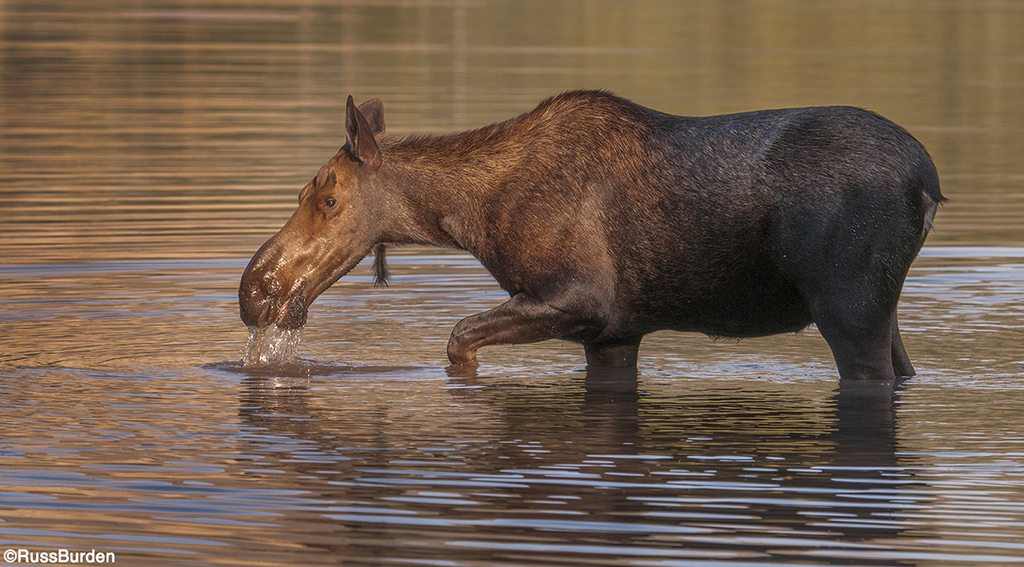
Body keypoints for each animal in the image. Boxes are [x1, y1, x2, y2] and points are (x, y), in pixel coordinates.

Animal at [239, 90, 942, 376]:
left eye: (328, 199)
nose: (255, 292)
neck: (475, 220)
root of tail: (928, 184)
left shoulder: (582, 299)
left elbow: (459, 340)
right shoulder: (613, 334)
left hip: (848, 308)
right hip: (880, 309)